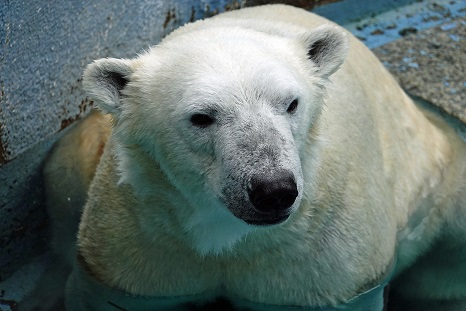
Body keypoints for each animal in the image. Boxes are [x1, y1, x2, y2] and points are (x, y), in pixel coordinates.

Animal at [22, 3, 466, 311]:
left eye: (291, 103)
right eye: (202, 117)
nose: (273, 190)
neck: (232, 236)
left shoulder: (323, 260)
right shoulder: (142, 244)